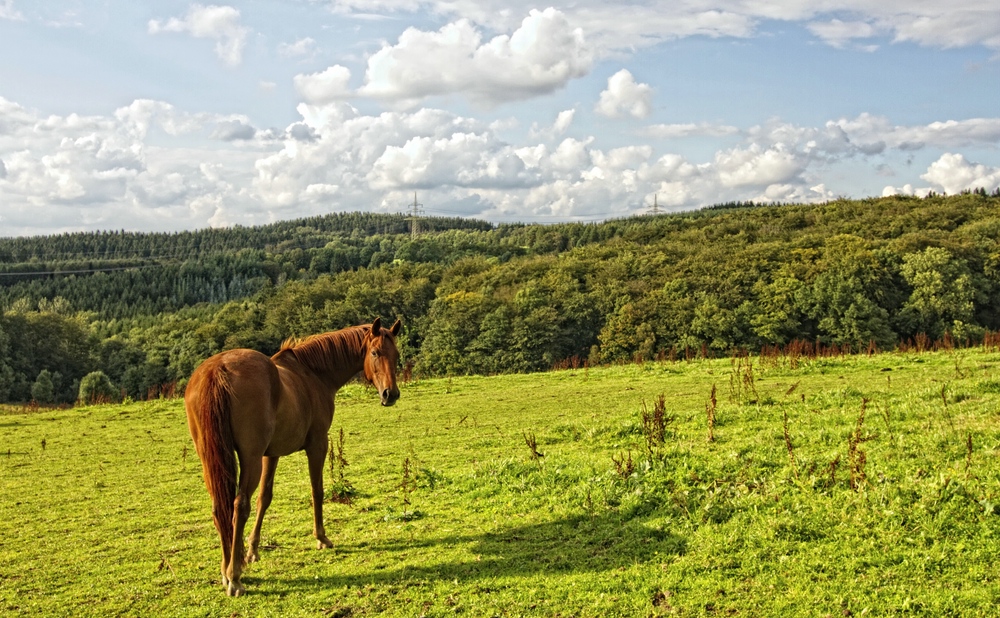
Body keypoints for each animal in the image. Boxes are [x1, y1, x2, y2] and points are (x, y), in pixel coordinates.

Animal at [184, 316, 402, 596]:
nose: (390, 394)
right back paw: (234, 577)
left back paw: (226, 570)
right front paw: (321, 537)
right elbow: (317, 490)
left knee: (219, 507)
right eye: (375, 353)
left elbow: (264, 498)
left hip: (212, 458)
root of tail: (218, 370)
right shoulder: (317, 444)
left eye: (396, 354)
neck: (312, 374)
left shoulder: (271, 454)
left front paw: (252, 551)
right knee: (238, 506)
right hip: (250, 458)